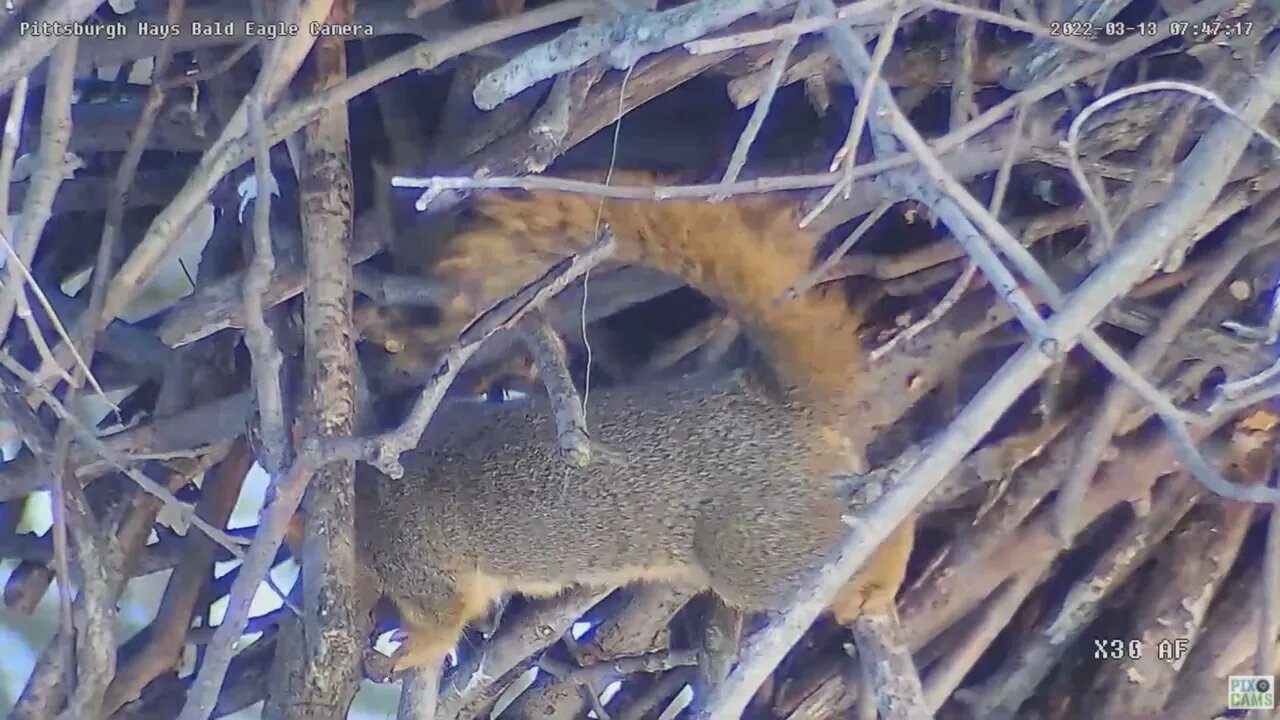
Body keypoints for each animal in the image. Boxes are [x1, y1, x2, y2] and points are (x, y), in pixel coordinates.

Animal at [322, 170, 916, 676]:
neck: (362, 496)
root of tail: (774, 401)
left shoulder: (411, 552)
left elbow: (443, 618)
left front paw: (407, 651)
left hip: (757, 543)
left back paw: (874, 581)